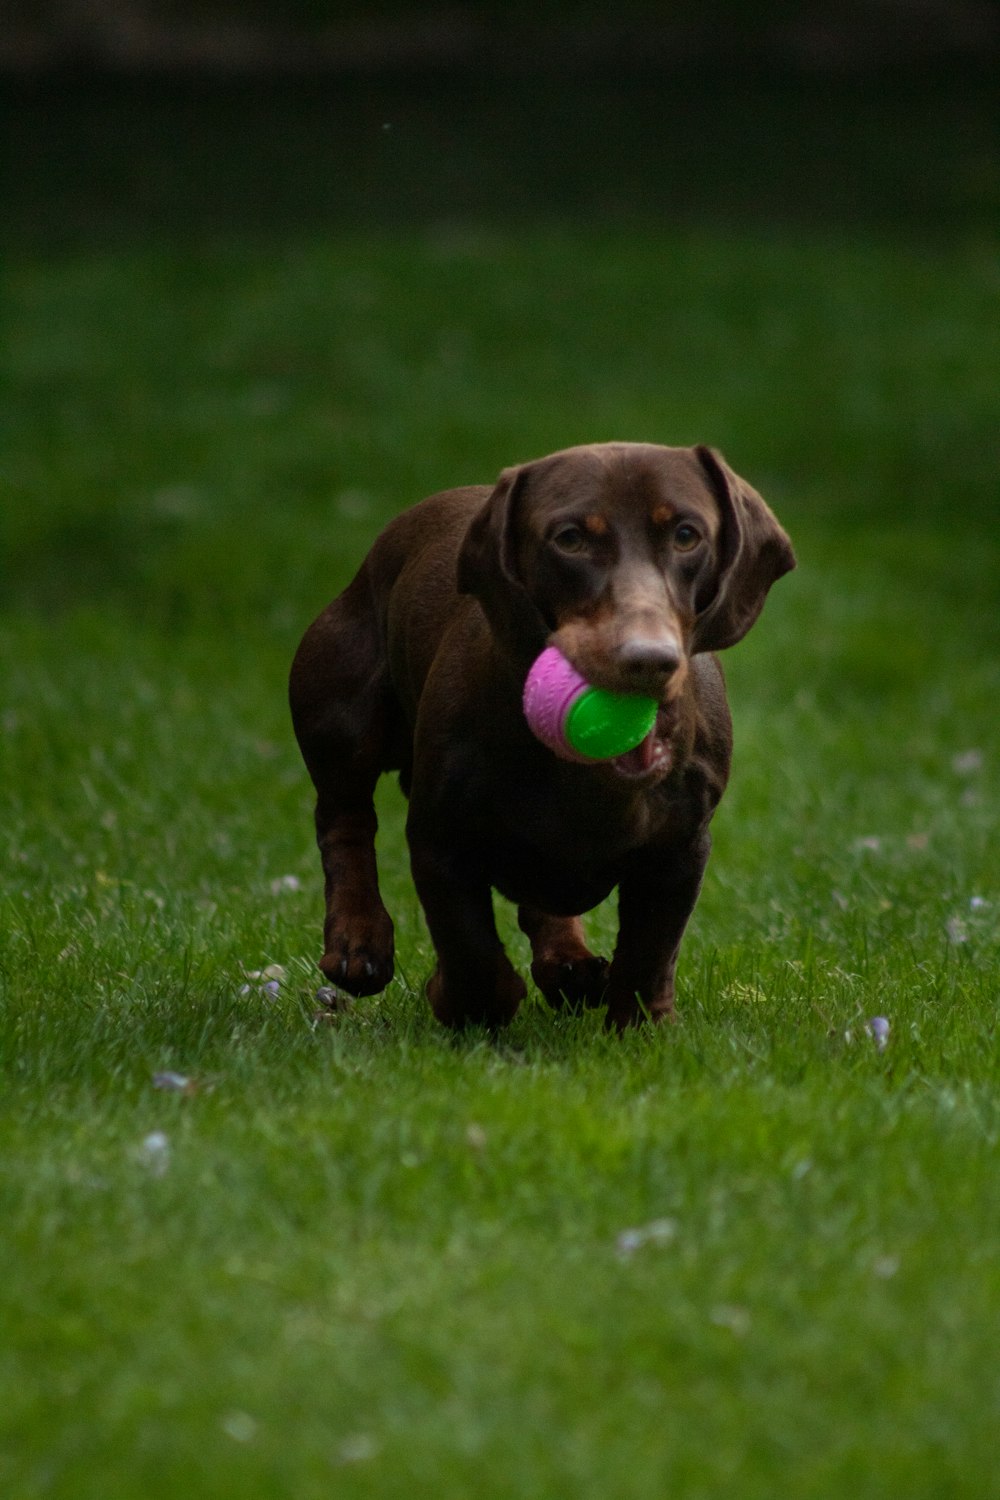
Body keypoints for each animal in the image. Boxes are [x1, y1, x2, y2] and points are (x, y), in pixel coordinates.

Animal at [289, 441, 797, 1032]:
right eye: (570, 538)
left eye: (687, 534)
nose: (648, 661)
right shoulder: (441, 840)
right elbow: (472, 954)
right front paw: (456, 999)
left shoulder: (680, 848)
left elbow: (650, 955)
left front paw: (641, 1029)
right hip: (339, 716)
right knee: (344, 821)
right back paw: (357, 941)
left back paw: (568, 963)